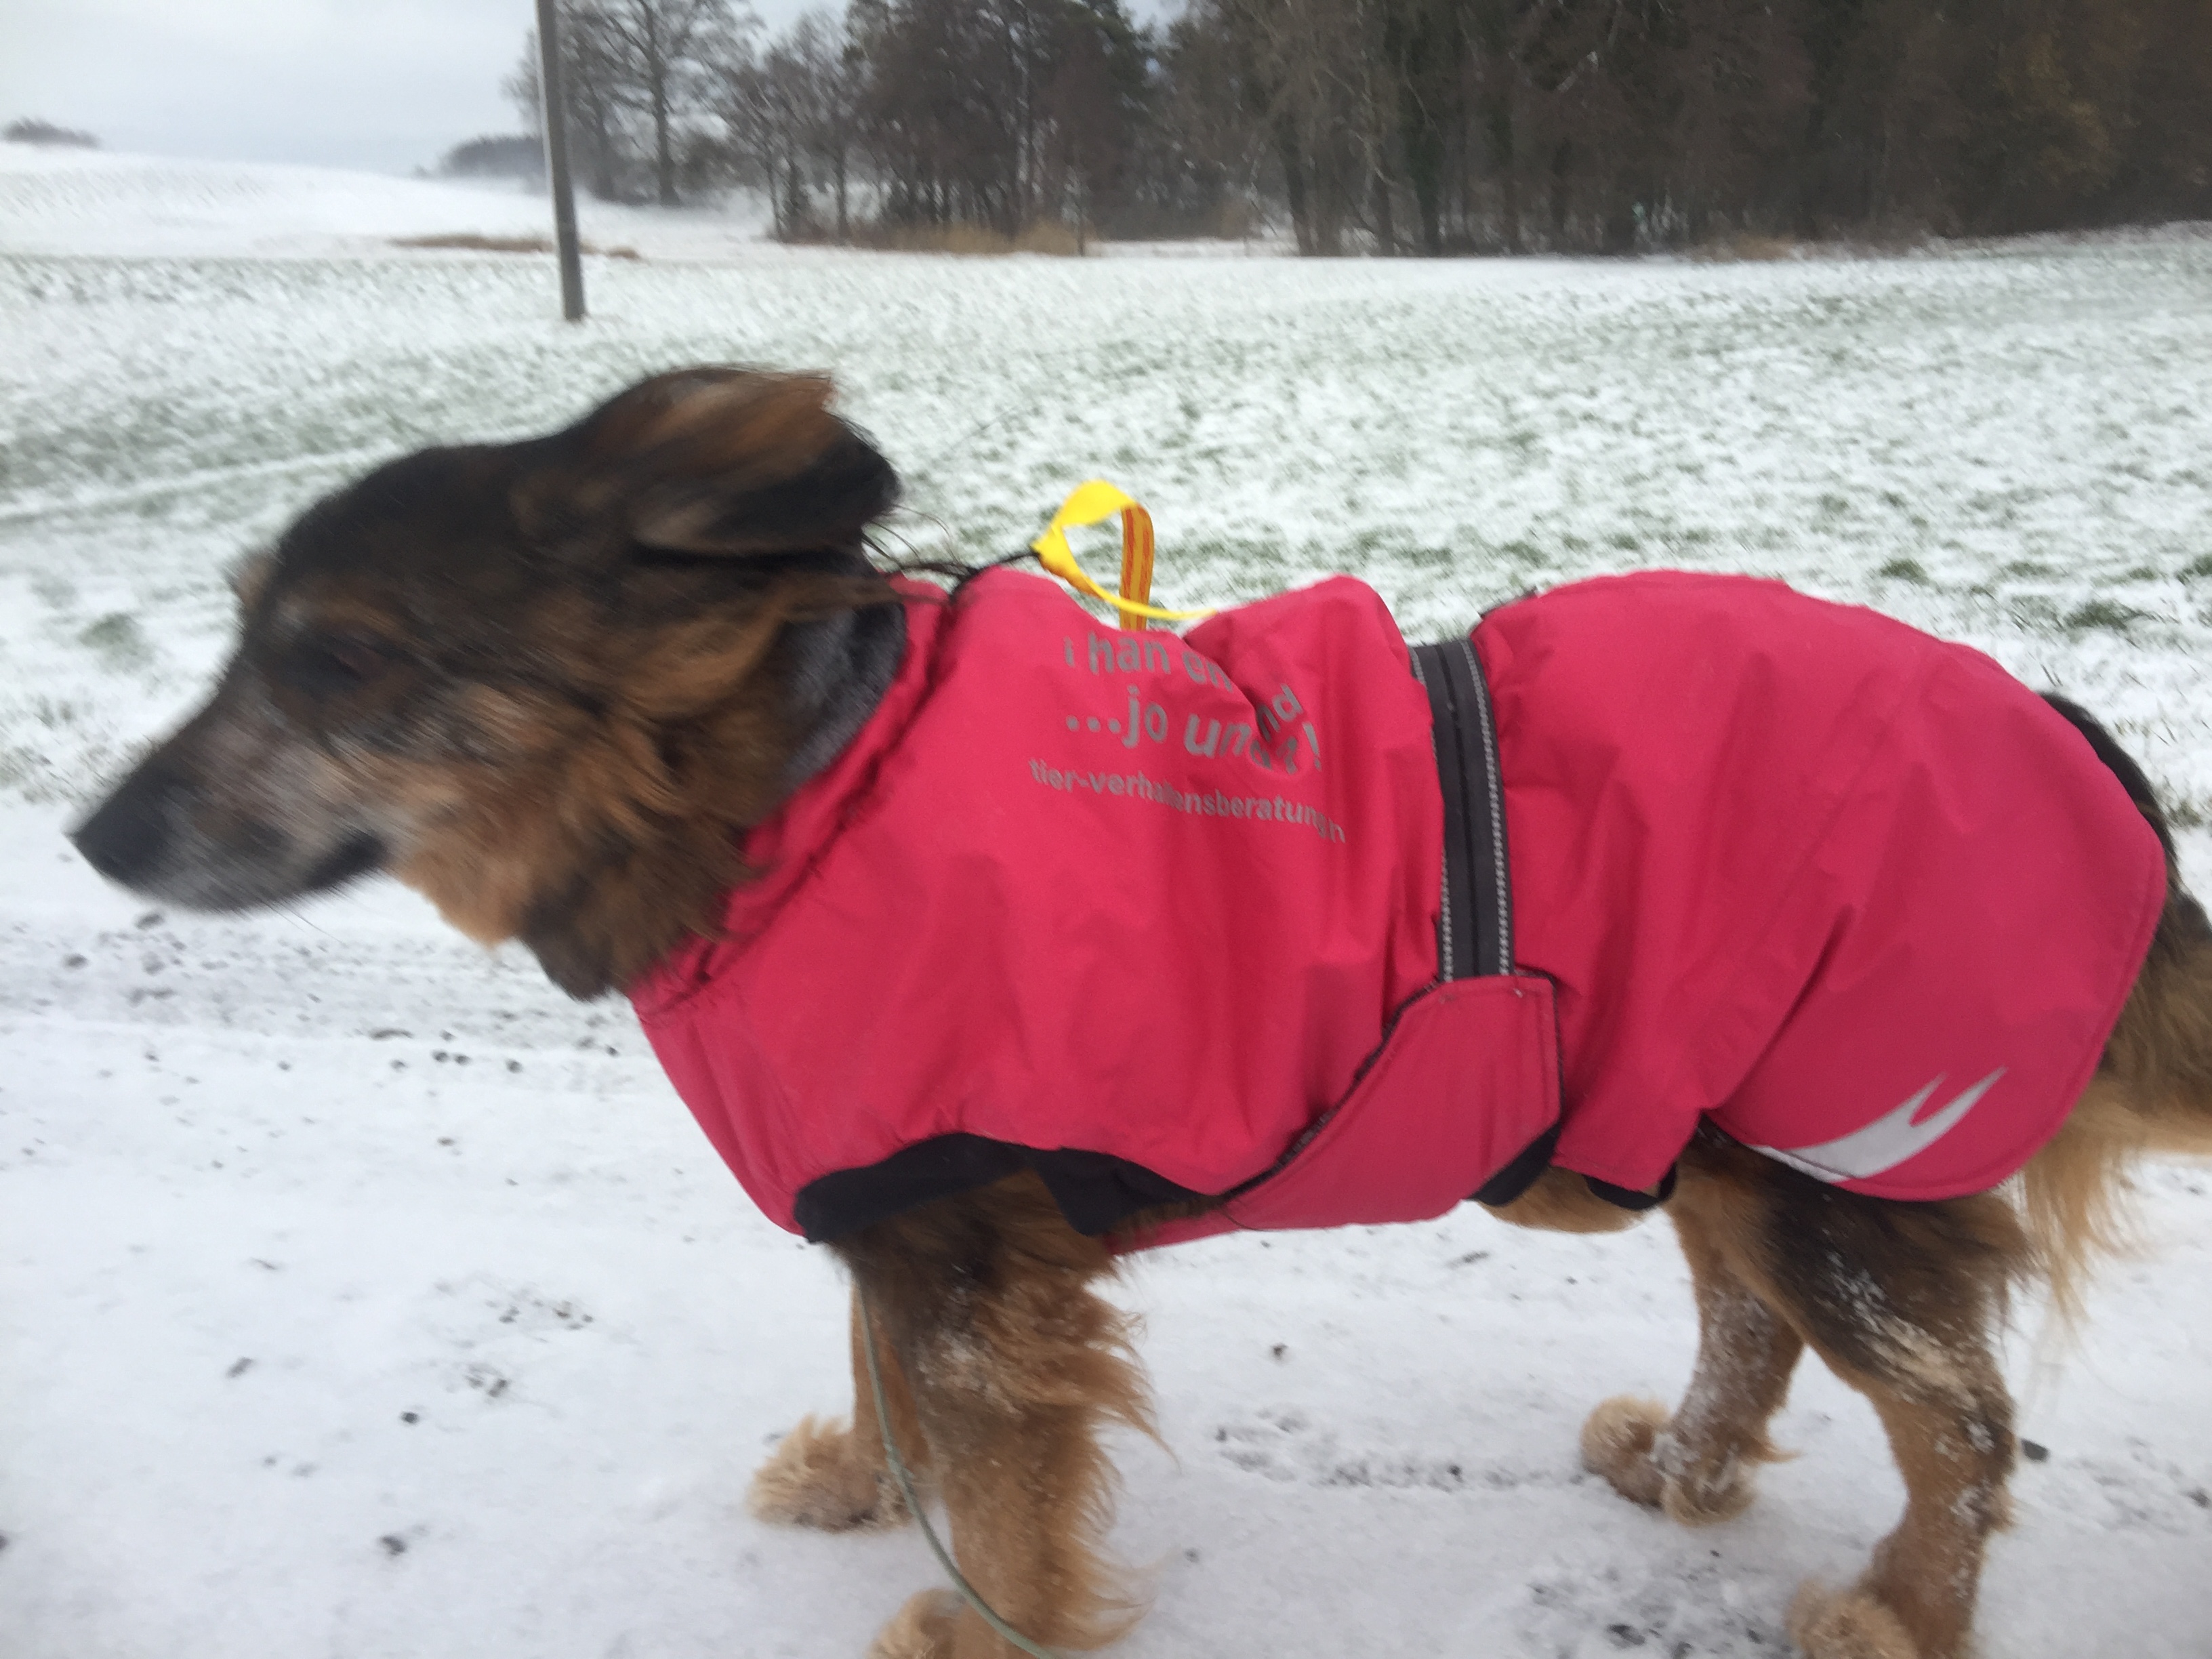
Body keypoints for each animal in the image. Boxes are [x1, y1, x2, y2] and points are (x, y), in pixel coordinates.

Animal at [71, 366, 2212, 1659]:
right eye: (242, 629)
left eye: (342, 662)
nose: (95, 831)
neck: (796, 793)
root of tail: (2093, 777)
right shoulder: (898, 1194)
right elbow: (880, 1375)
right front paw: (867, 1489)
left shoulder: (969, 1248)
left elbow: (995, 1465)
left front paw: (975, 1613)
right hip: (1696, 1116)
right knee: (1754, 1330)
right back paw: (1684, 1473)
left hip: (1836, 1153)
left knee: (1960, 1418)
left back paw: (1903, 1608)